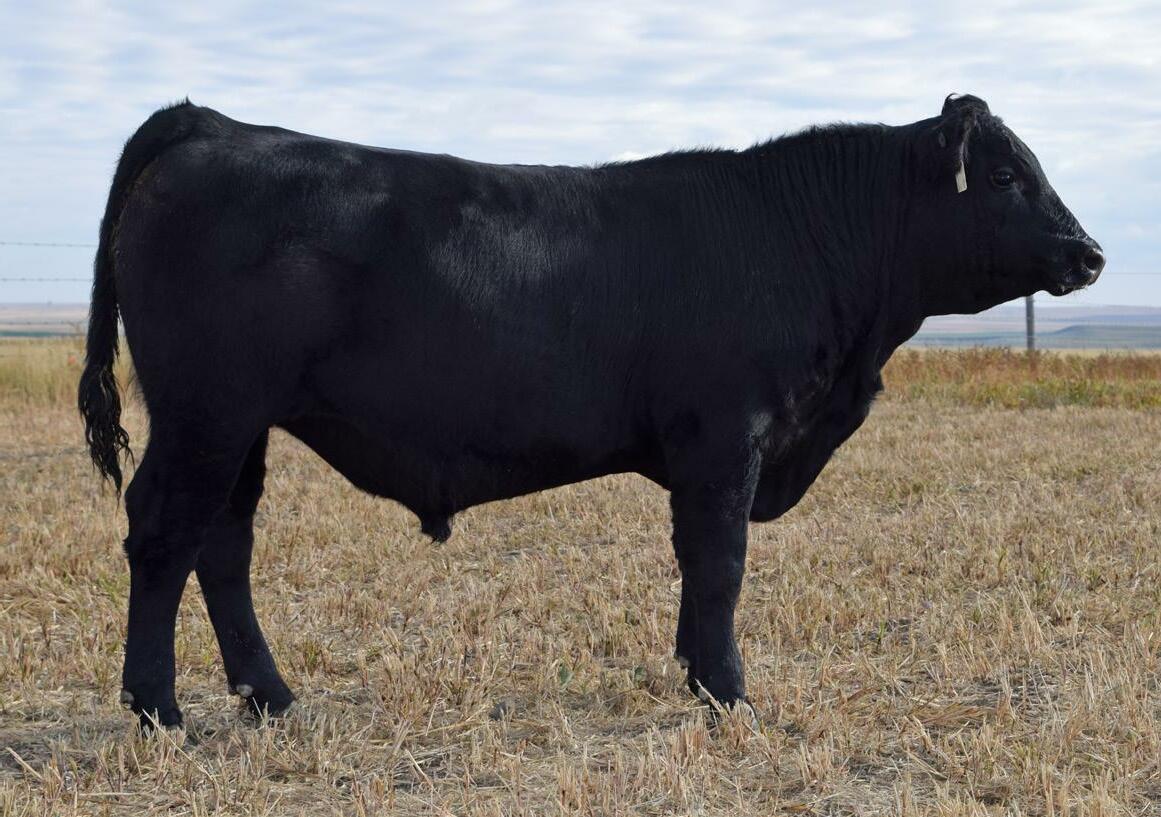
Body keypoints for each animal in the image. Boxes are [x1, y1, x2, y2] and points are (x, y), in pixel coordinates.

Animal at [79, 94, 1103, 729]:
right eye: (1004, 176)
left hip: (239, 426)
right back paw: (158, 709)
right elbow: (720, 563)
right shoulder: (723, 439)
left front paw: (698, 677)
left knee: (224, 542)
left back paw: (270, 696)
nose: (1088, 253)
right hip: (206, 413)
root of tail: (214, 125)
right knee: (164, 534)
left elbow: (700, 565)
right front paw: (728, 692)